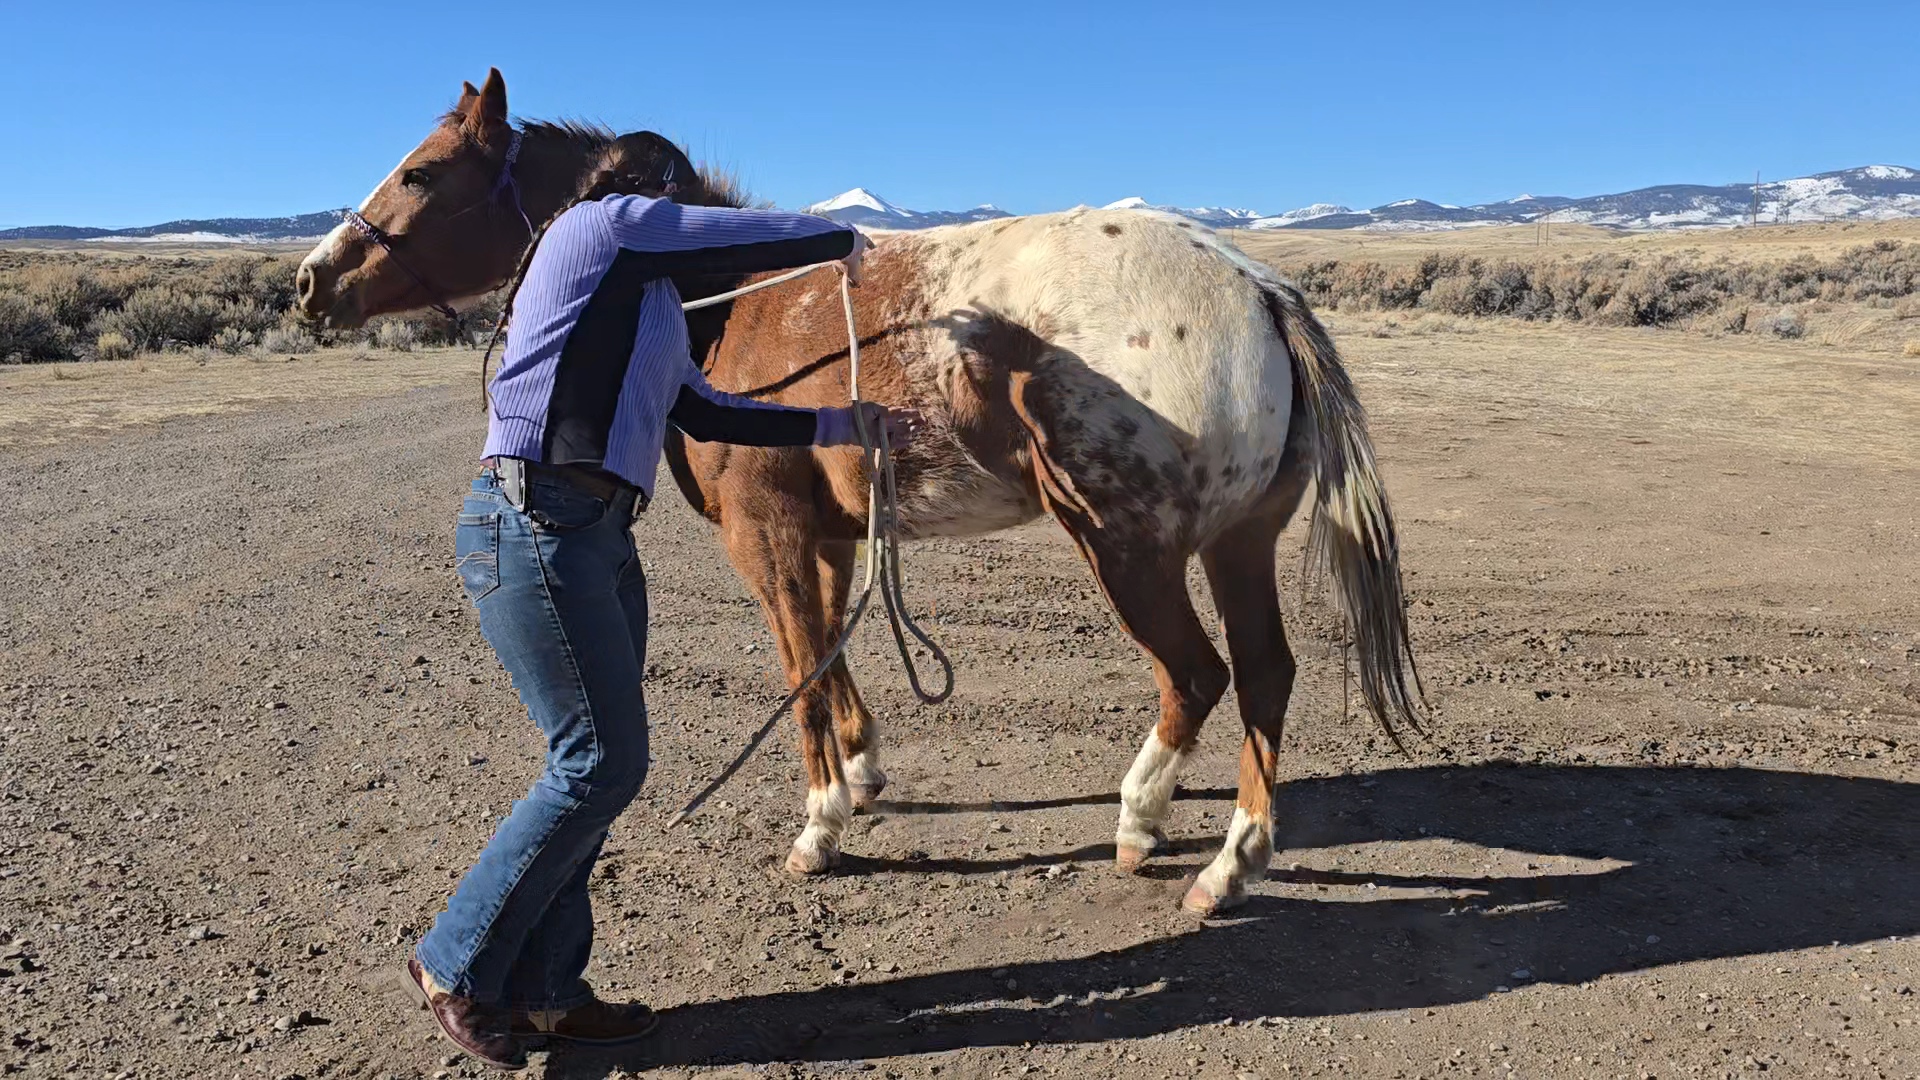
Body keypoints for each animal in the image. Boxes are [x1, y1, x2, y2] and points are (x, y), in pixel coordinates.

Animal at [296, 69, 1423, 916]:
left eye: (423, 172)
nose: (312, 280)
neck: (722, 298)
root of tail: (1258, 288)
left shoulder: (768, 538)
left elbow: (800, 670)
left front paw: (821, 824)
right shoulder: (832, 538)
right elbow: (833, 656)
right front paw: (865, 770)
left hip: (1129, 549)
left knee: (1196, 675)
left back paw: (1147, 824)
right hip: (1237, 543)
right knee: (1265, 675)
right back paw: (1232, 858)